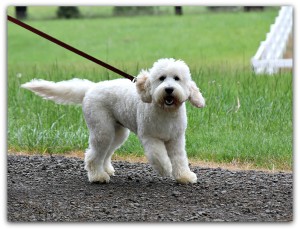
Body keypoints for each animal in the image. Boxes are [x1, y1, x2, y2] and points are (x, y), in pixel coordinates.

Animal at [21, 58, 204, 184]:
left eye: (177, 78)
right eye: (161, 78)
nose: (169, 89)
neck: (165, 111)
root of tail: (90, 89)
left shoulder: (176, 139)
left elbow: (180, 158)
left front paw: (184, 176)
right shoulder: (150, 138)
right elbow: (158, 156)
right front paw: (166, 169)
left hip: (117, 132)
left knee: (106, 153)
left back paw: (106, 170)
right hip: (102, 130)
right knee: (93, 155)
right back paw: (98, 176)